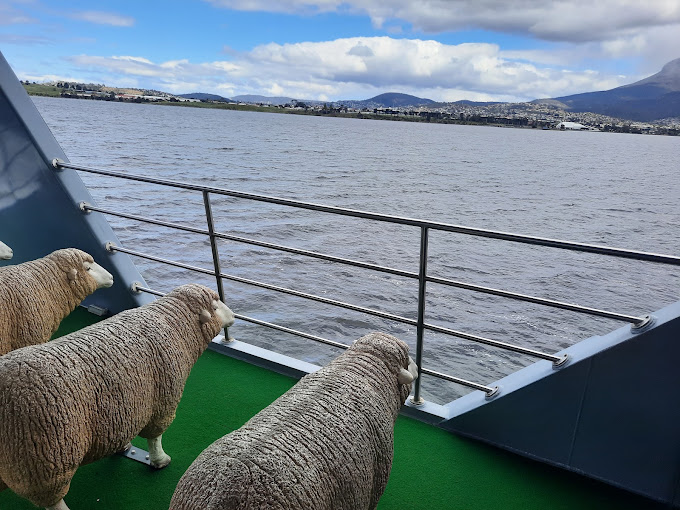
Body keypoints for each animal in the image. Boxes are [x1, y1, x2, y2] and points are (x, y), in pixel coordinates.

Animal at [0, 283, 235, 510]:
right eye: (215, 306)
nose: (233, 315)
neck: (173, 323)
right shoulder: (163, 401)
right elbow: (155, 438)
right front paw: (160, 461)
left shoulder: (124, 405)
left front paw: (122, 448)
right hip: (48, 459)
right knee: (53, 500)